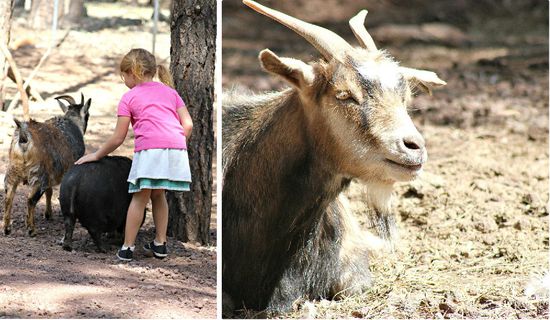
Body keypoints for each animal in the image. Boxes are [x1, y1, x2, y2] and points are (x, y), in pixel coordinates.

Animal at [4, 94, 91, 236]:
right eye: (87, 115)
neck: (71, 122)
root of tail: (24, 137)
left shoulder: (52, 173)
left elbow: (49, 192)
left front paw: (48, 214)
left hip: (12, 171)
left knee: (9, 198)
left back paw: (6, 228)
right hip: (38, 175)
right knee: (31, 200)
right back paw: (31, 229)